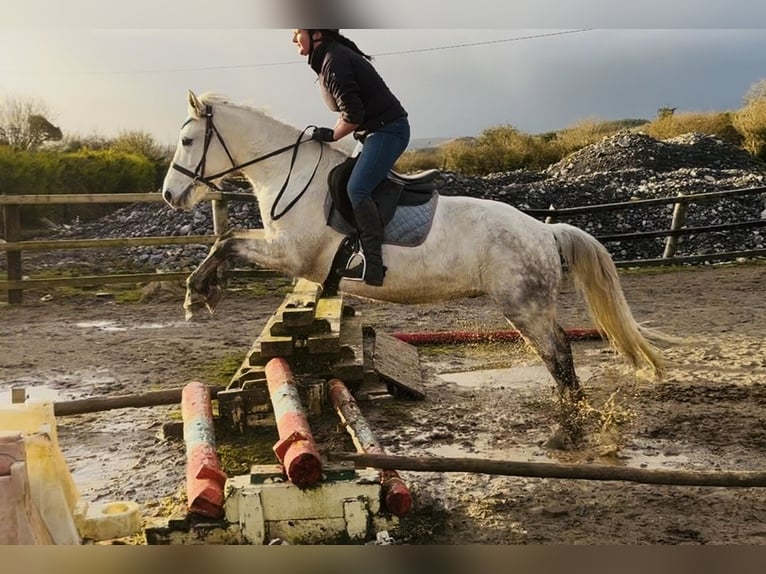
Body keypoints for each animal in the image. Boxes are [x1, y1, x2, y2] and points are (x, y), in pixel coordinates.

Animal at [160, 90, 668, 437]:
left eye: (186, 140)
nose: (169, 195)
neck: (290, 174)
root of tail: (544, 231)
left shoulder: (291, 252)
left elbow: (227, 242)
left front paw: (197, 295)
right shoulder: (285, 251)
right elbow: (227, 240)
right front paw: (205, 290)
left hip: (524, 306)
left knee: (559, 353)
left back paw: (571, 420)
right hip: (527, 306)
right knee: (555, 355)